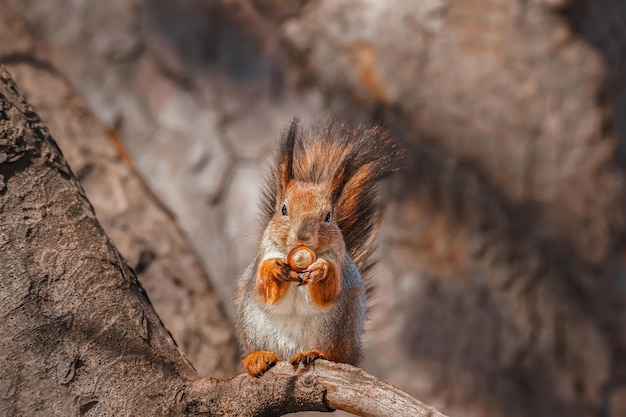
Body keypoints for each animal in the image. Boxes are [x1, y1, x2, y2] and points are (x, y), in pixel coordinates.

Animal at [233, 118, 400, 376]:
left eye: (329, 216)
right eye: (283, 209)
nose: (302, 236)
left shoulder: (340, 264)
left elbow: (329, 291)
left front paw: (321, 270)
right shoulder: (263, 255)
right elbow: (263, 287)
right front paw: (276, 270)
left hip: (338, 330)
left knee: (333, 355)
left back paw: (312, 353)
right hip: (252, 325)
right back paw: (258, 358)